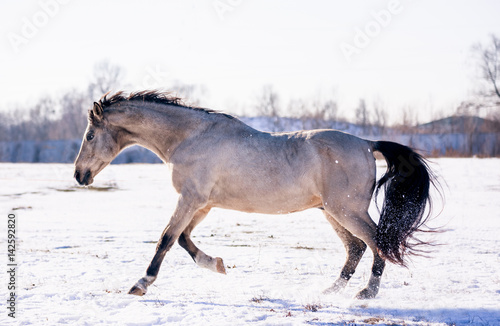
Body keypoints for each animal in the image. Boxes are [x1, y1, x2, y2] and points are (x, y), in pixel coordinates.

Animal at [73, 90, 438, 300]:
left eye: (89, 135)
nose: (79, 175)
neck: (189, 137)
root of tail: (366, 143)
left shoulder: (190, 199)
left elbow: (166, 238)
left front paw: (141, 284)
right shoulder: (202, 204)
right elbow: (184, 239)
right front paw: (218, 265)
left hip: (346, 210)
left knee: (377, 242)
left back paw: (367, 292)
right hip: (332, 212)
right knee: (357, 248)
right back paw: (330, 292)